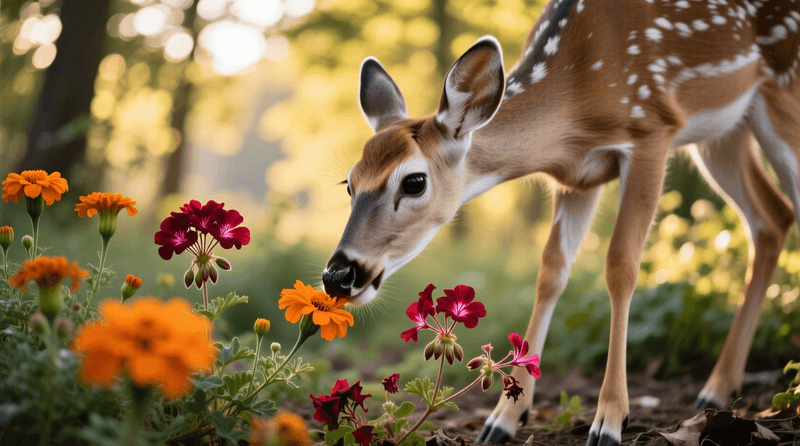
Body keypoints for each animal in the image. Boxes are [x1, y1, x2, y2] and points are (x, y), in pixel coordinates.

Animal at [320, 0, 800, 444]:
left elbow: (621, 266)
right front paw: (503, 419)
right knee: (773, 216)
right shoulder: (578, 177)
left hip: (780, 94)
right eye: (349, 184)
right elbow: (551, 271)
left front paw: (610, 421)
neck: (576, 102)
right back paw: (715, 391)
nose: (338, 275)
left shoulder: (652, 130)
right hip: (724, 132)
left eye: (415, 182)